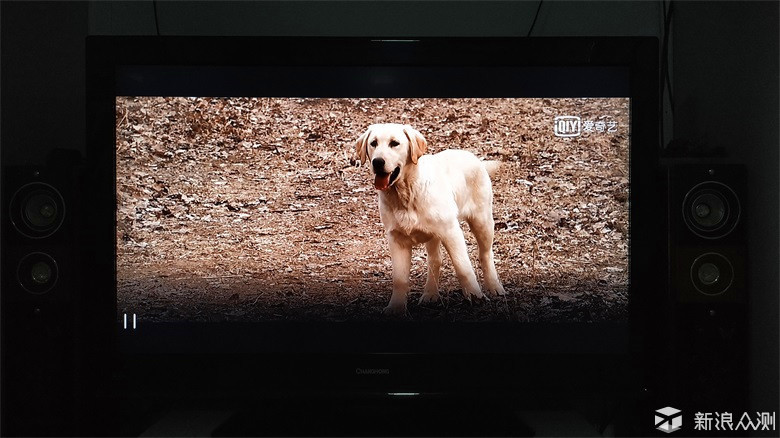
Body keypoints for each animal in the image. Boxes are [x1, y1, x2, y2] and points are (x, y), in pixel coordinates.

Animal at [354, 123, 506, 314]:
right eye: (373, 143)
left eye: (394, 143)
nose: (378, 162)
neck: (406, 194)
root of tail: (476, 159)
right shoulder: (396, 239)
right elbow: (399, 279)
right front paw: (396, 307)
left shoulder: (451, 231)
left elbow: (463, 267)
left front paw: (475, 296)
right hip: (433, 234)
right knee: (435, 260)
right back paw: (430, 294)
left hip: (482, 221)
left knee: (485, 254)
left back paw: (494, 286)